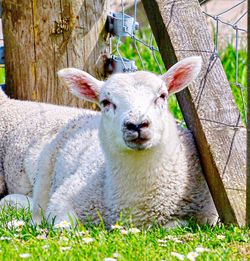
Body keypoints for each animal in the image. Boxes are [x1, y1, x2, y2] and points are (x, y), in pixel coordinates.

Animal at [0, 56, 218, 225]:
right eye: (106, 102)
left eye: (162, 96)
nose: (136, 125)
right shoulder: (64, 199)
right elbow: (61, 226)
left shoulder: (207, 214)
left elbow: (177, 224)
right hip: (45, 174)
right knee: (36, 213)